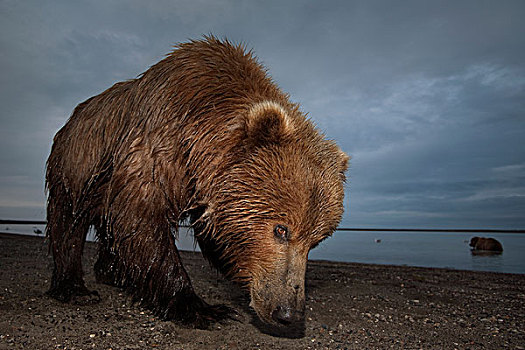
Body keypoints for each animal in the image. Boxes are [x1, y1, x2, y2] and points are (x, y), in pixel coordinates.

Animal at [45, 36, 348, 330]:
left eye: (316, 241)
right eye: (281, 229)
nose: (288, 313)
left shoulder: (206, 187)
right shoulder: (159, 141)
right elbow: (140, 216)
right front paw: (202, 309)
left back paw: (111, 273)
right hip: (75, 166)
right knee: (67, 223)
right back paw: (74, 288)